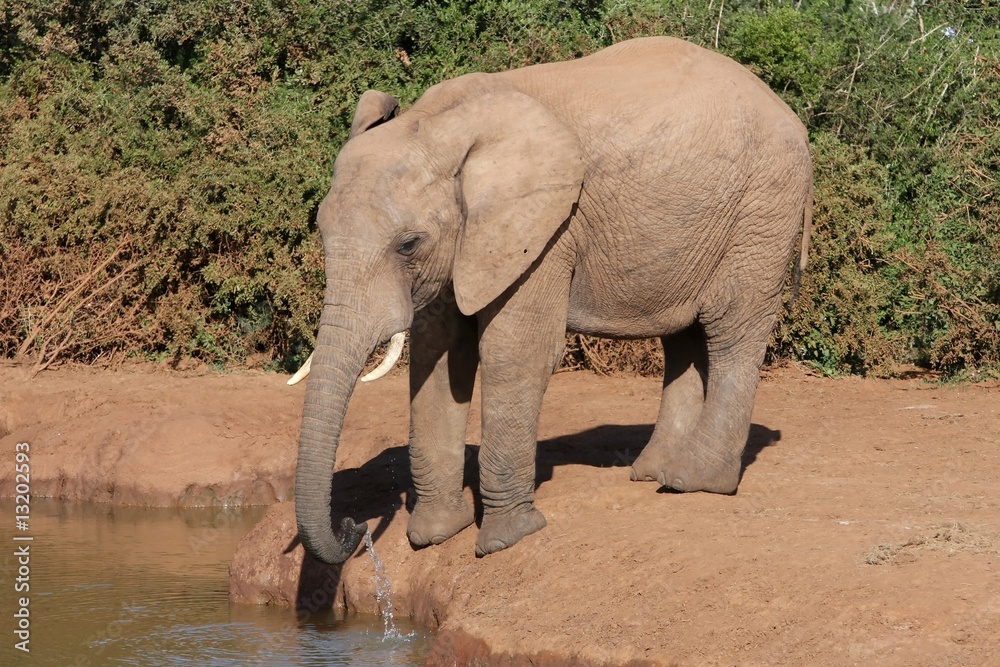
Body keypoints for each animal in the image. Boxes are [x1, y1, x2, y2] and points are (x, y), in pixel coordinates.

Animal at [291, 36, 813, 564]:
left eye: (408, 244)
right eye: (320, 228)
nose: (354, 527)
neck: (444, 124)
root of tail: (791, 116)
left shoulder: (548, 230)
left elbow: (514, 354)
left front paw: (505, 539)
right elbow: (437, 355)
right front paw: (436, 535)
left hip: (763, 210)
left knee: (731, 330)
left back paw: (695, 481)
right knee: (683, 338)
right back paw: (655, 472)